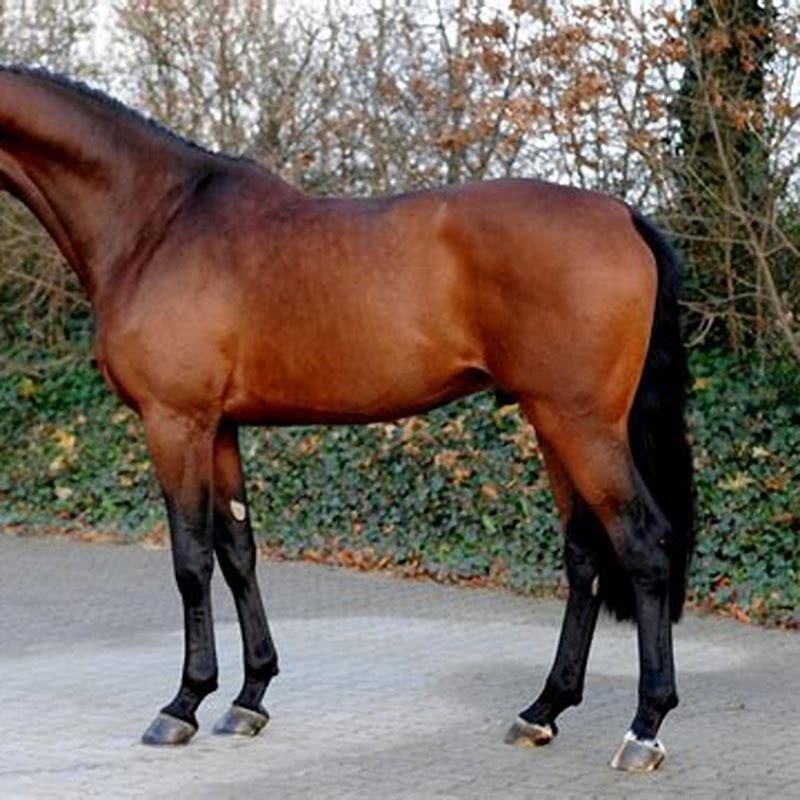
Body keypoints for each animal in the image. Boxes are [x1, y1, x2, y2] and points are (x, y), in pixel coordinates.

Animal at [0, 66, 693, 772]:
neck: (156, 222)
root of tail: (623, 216)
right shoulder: (218, 428)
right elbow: (238, 552)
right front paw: (248, 698)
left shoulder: (175, 423)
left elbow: (191, 562)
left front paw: (183, 704)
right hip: (552, 422)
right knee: (584, 554)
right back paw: (542, 710)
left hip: (582, 426)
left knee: (642, 544)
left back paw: (643, 727)